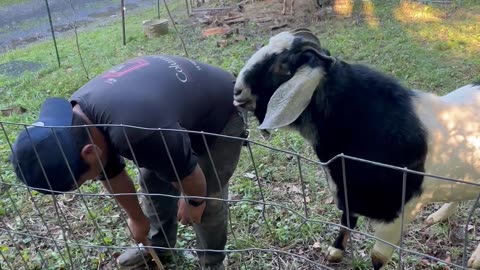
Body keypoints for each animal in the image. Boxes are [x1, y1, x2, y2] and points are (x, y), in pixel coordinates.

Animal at [234, 28, 480, 268]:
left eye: (282, 66)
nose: (237, 91)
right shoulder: (347, 192)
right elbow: (346, 222)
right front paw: (335, 252)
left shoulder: (397, 216)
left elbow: (377, 258)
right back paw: (439, 216)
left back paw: (474, 258)